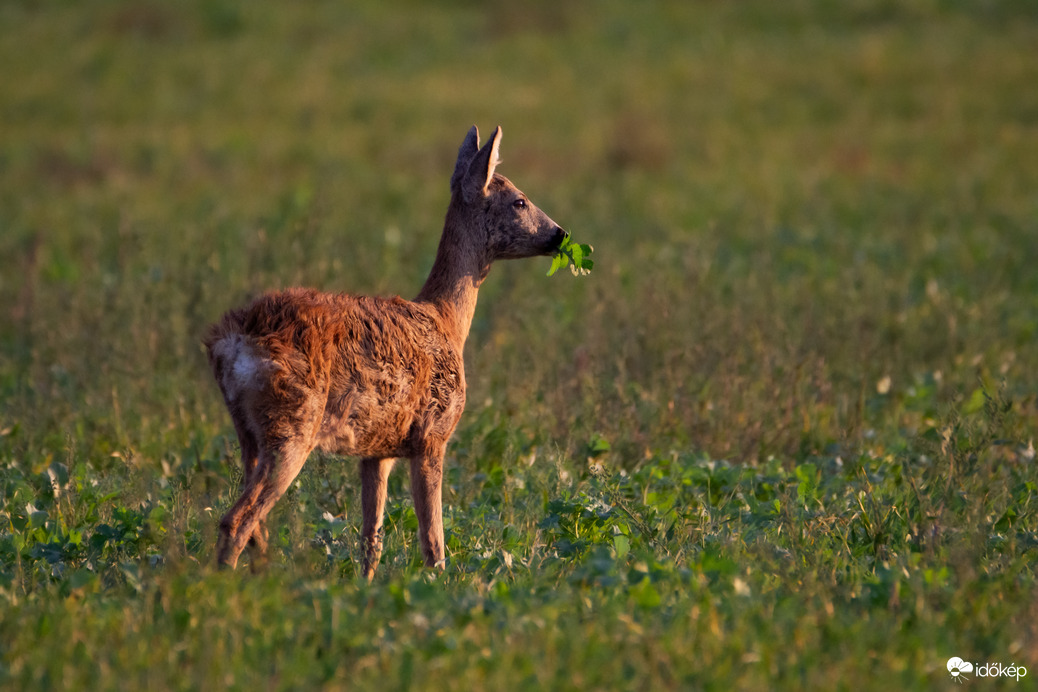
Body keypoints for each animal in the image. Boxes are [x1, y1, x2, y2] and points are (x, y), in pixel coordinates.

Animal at [204, 124, 568, 580]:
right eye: (520, 200)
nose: (560, 234)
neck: (446, 321)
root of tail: (230, 342)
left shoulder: (376, 450)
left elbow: (371, 537)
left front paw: (367, 588)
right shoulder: (432, 434)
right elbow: (433, 539)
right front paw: (439, 586)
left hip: (249, 433)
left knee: (255, 524)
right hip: (293, 424)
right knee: (237, 520)